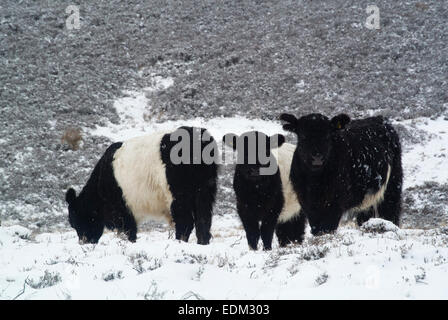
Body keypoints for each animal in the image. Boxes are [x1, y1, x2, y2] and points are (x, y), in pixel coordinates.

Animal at [65, 126, 218, 244]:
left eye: (76, 221)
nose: (84, 242)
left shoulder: (122, 209)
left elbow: (129, 231)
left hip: (179, 193)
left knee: (185, 221)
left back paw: (180, 242)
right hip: (205, 190)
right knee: (203, 220)